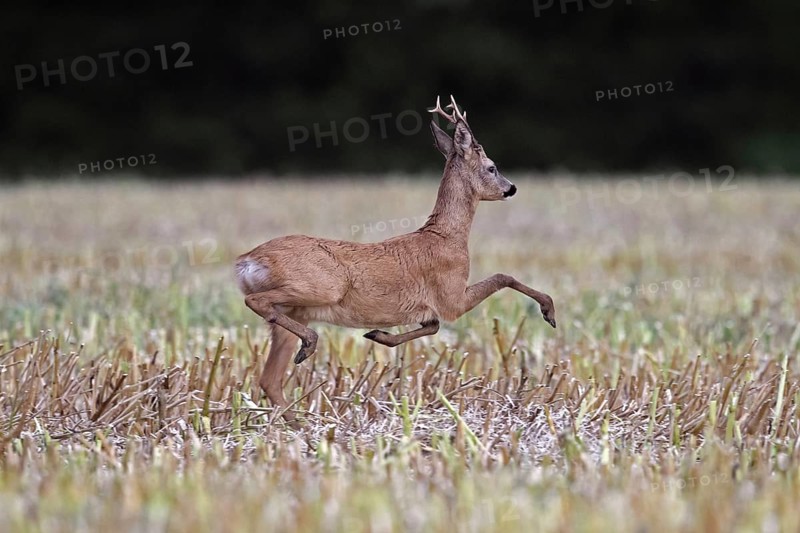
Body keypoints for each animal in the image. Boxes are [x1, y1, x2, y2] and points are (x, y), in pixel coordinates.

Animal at [235, 95, 556, 421]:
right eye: (492, 168)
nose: (511, 188)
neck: (446, 237)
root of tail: (246, 261)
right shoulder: (451, 296)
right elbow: (502, 277)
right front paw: (548, 310)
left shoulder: (435, 305)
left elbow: (432, 324)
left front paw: (378, 335)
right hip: (321, 288)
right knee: (256, 304)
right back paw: (310, 345)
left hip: (295, 311)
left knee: (269, 378)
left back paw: (299, 422)